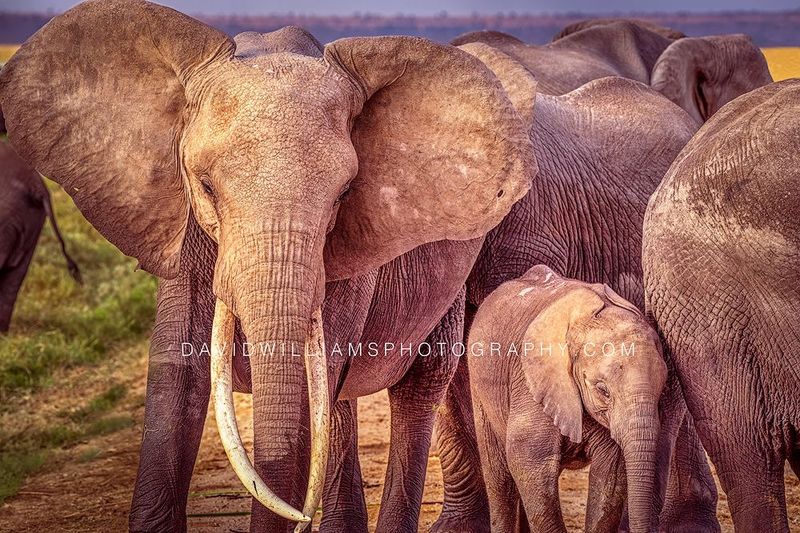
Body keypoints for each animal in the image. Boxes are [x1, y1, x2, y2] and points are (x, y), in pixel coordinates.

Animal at [468, 265, 668, 533]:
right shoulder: (530, 379)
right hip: (481, 390)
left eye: (662, 388)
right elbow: (529, 460)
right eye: (603, 390)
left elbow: (611, 473)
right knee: (499, 476)